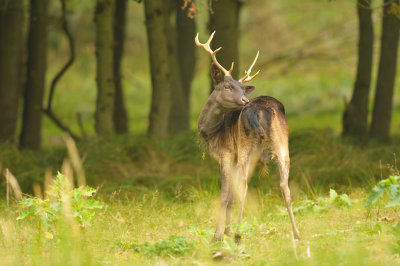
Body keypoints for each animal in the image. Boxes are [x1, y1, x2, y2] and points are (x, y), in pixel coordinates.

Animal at [195, 31, 302, 243]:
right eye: (228, 86)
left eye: (241, 88)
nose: (244, 100)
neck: (212, 132)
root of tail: (261, 108)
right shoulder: (237, 157)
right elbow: (230, 197)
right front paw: (226, 233)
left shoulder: (227, 153)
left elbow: (225, 195)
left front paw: (218, 236)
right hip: (281, 146)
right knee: (284, 185)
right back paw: (296, 233)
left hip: (247, 147)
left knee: (243, 186)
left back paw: (238, 235)